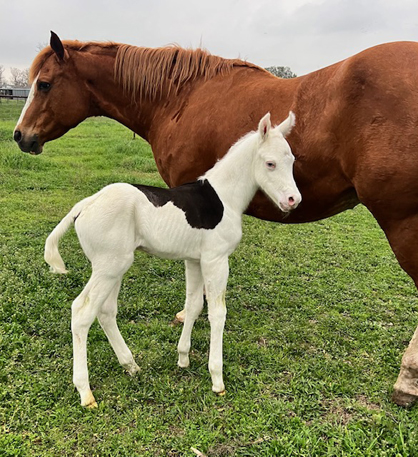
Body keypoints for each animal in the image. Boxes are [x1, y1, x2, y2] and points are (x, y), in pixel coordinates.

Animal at [45, 111, 300, 406]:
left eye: (291, 161)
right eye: (270, 163)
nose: (293, 200)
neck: (225, 198)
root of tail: (85, 204)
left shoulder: (195, 261)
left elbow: (193, 306)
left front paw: (183, 358)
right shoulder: (216, 260)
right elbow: (217, 312)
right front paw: (217, 379)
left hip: (113, 267)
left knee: (106, 311)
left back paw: (130, 365)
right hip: (109, 268)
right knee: (82, 312)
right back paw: (86, 392)